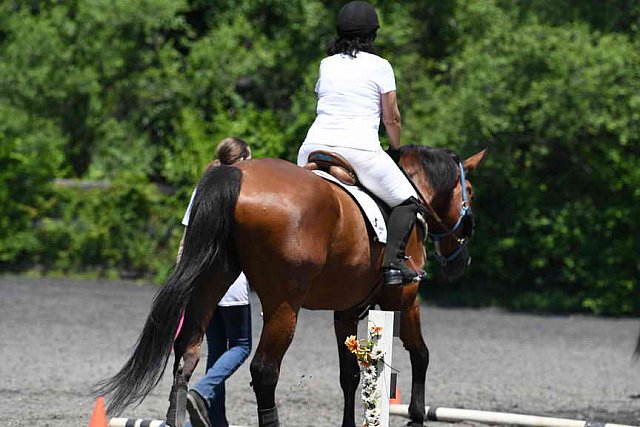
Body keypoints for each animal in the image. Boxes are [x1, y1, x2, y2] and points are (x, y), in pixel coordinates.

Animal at [94, 145, 484, 426]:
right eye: (470, 192)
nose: (461, 262)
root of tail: (238, 175)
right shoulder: (404, 298)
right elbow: (421, 354)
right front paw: (416, 417)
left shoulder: (345, 311)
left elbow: (349, 375)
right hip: (284, 304)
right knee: (264, 371)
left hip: (212, 281)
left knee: (187, 353)